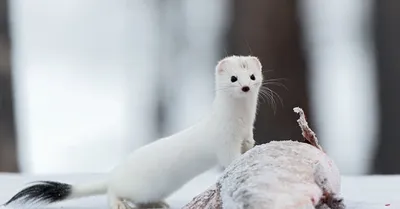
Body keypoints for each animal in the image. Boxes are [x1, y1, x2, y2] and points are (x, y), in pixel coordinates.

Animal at [3, 54, 266, 208]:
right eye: (233, 78)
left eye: (252, 76)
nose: (245, 86)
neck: (240, 121)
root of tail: (116, 172)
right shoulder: (223, 141)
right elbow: (230, 158)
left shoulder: (246, 132)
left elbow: (249, 143)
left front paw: (252, 147)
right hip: (132, 185)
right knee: (112, 192)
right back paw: (119, 203)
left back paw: (160, 204)